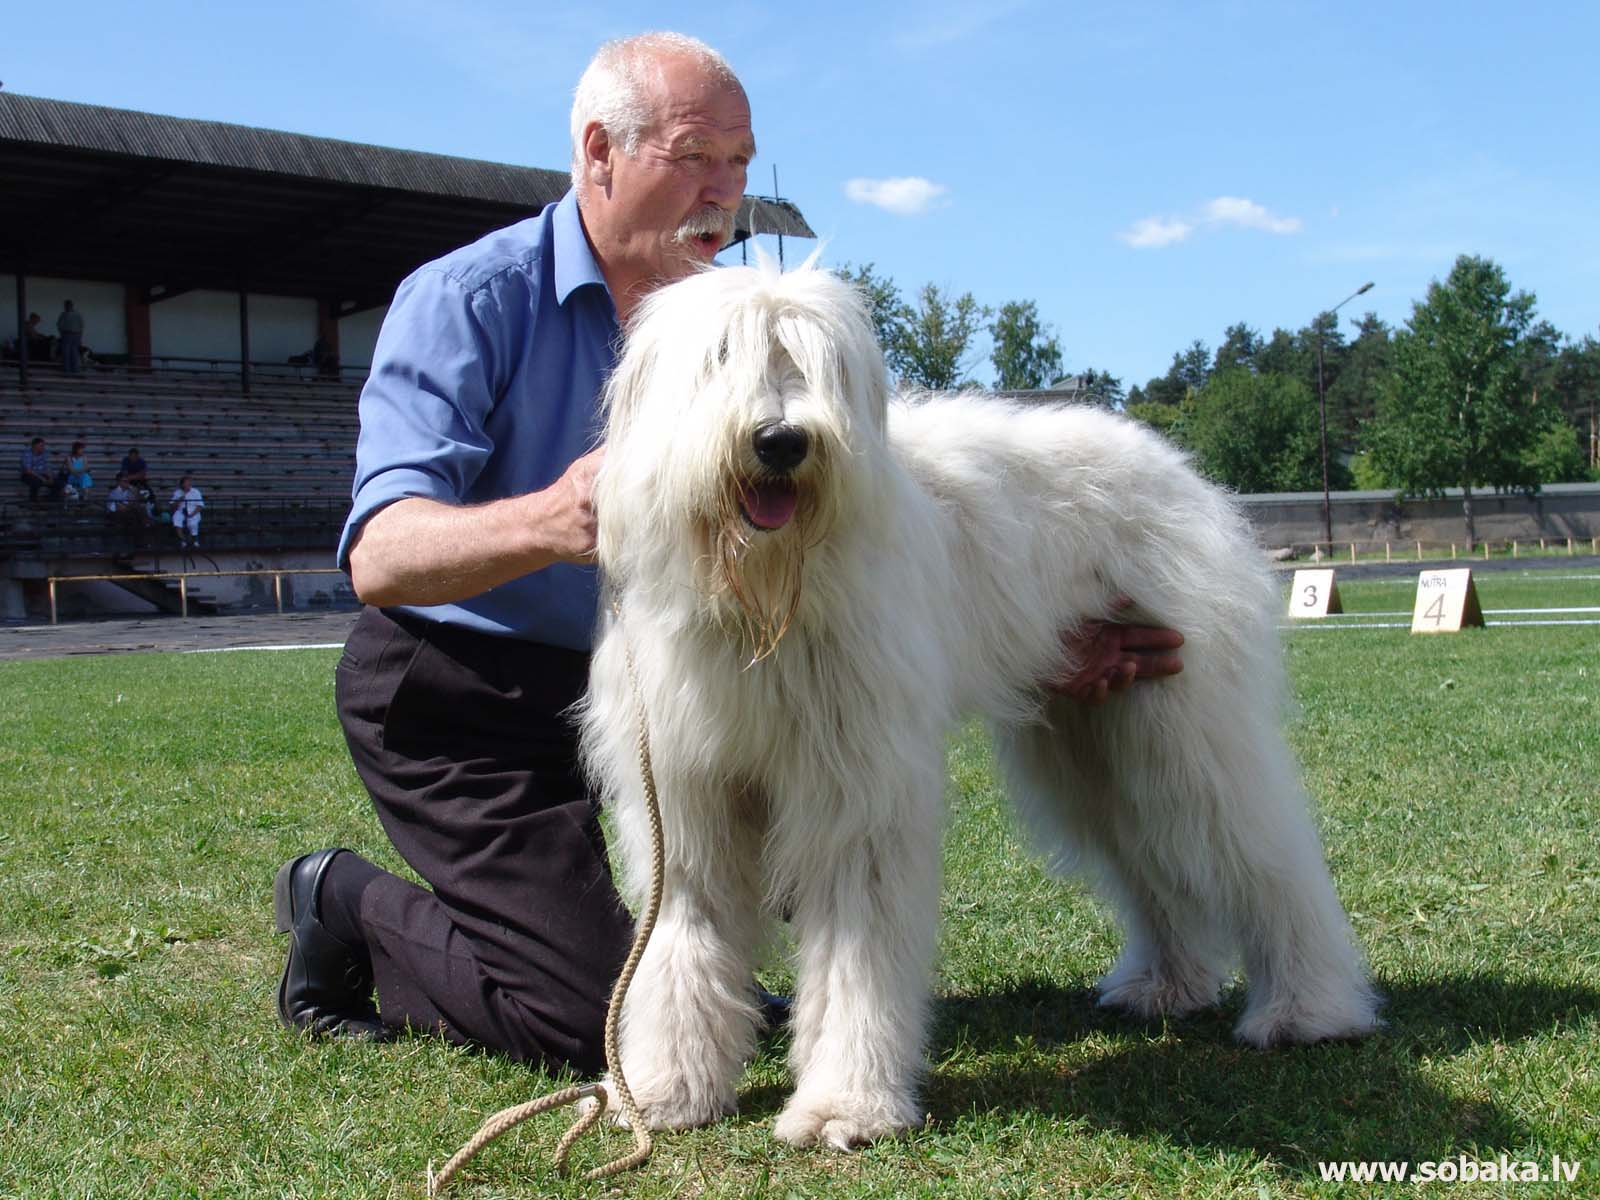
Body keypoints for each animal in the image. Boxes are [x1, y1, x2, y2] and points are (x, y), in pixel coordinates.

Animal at [582, 260, 1382, 1145]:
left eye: (816, 362)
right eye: (723, 355)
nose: (782, 441)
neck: (762, 607)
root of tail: (1175, 463)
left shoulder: (860, 791)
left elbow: (857, 949)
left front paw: (845, 1106)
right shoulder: (686, 799)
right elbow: (680, 938)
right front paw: (665, 1090)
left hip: (1185, 727)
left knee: (1267, 857)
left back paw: (1310, 1009)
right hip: (1095, 739)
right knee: (1153, 861)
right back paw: (1170, 985)